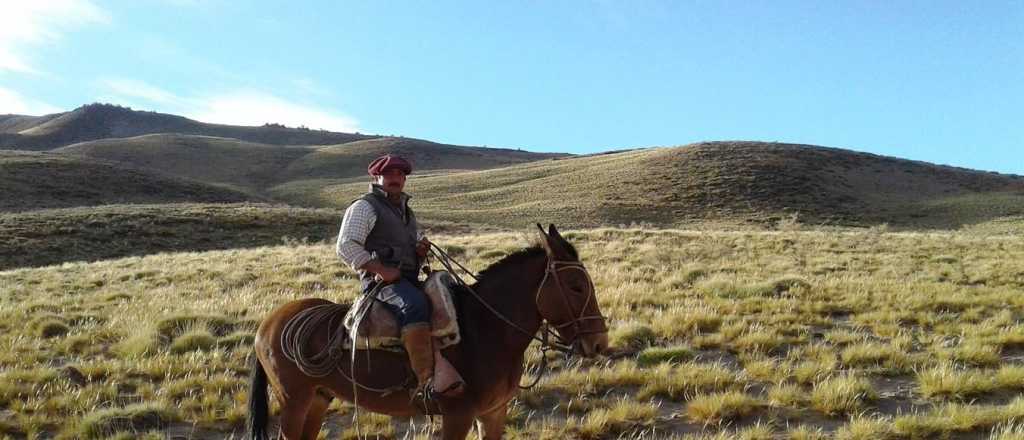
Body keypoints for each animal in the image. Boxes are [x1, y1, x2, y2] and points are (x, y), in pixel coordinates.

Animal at [247, 224, 610, 439]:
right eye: (576, 286)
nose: (598, 342)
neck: (485, 331)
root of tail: (268, 322)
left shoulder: (494, 413)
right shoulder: (457, 416)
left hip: (319, 397)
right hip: (293, 400)